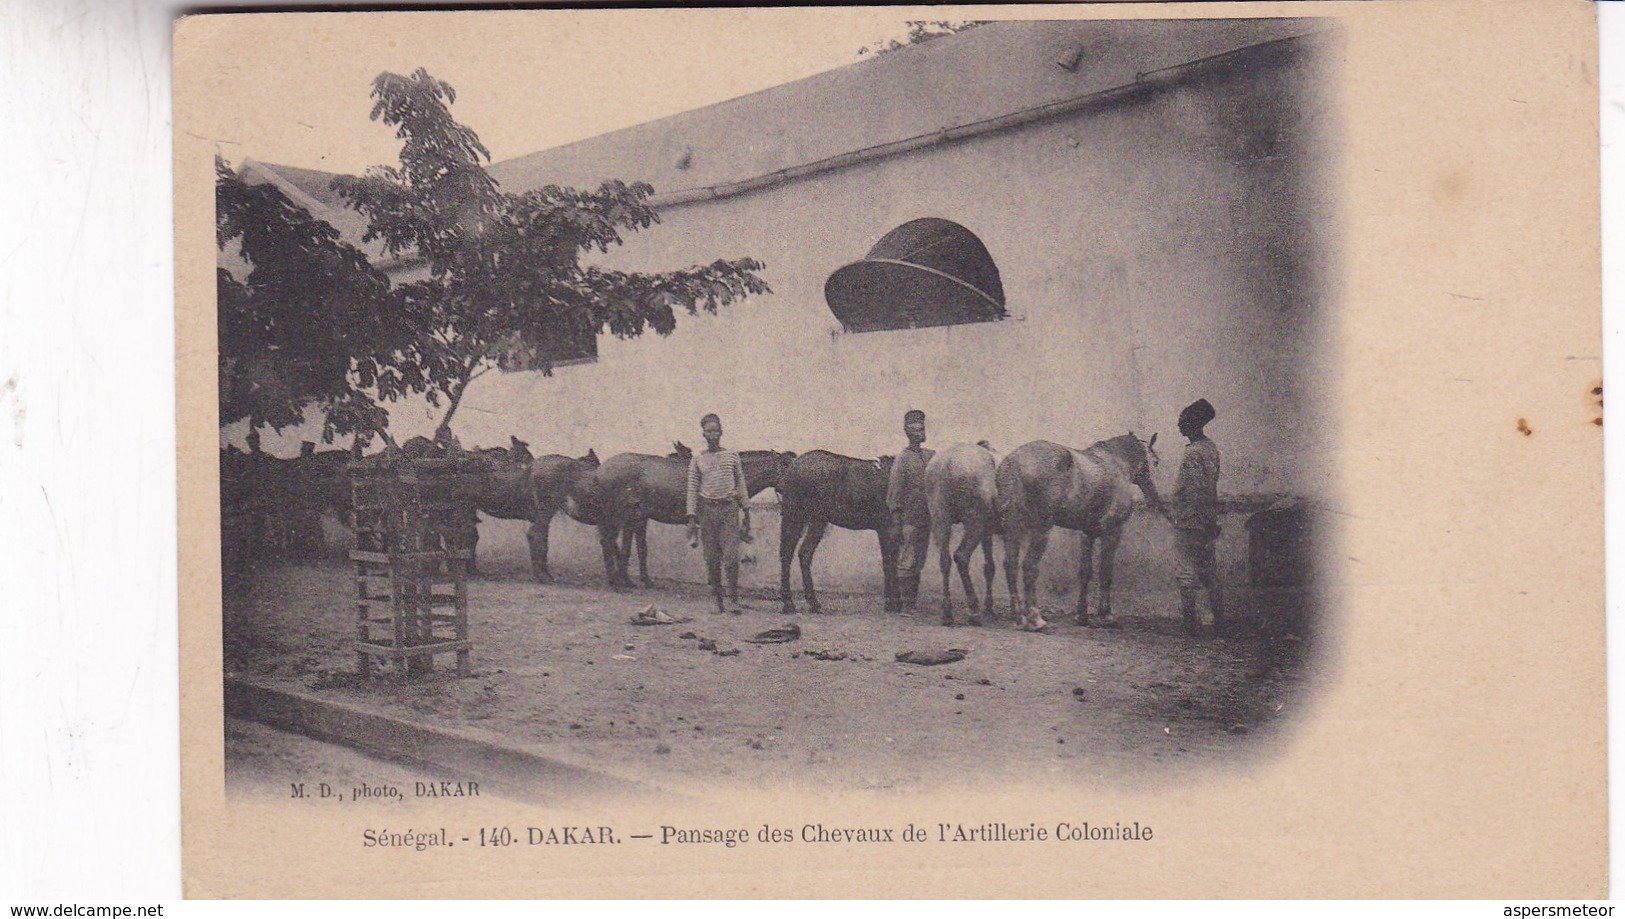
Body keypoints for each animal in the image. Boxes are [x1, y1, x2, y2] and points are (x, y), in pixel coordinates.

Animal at [776, 454, 903, 620]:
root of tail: (793, 466)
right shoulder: (888, 528)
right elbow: (890, 563)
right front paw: (893, 602)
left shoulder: (886, 530)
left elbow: (889, 562)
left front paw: (891, 602)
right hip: (805, 517)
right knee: (795, 553)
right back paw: (799, 603)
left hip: (806, 519)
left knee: (795, 553)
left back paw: (801, 603)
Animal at [929, 441, 1001, 629]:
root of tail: (947, 463)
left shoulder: (987, 532)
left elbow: (989, 567)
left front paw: (990, 607)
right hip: (974, 522)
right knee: (961, 556)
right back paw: (974, 611)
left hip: (941, 518)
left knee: (945, 560)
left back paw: (947, 613)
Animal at [994, 435, 1163, 633]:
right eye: (1156, 462)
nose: (1153, 499)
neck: (1117, 463)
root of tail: (1014, 463)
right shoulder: (1112, 532)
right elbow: (1106, 572)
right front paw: (1106, 616)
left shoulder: (1087, 533)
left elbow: (1085, 572)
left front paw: (1082, 615)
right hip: (1040, 528)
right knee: (1029, 567)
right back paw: (1035, 619)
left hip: (1013, 527)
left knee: (1010, 565)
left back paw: (1018, 617)